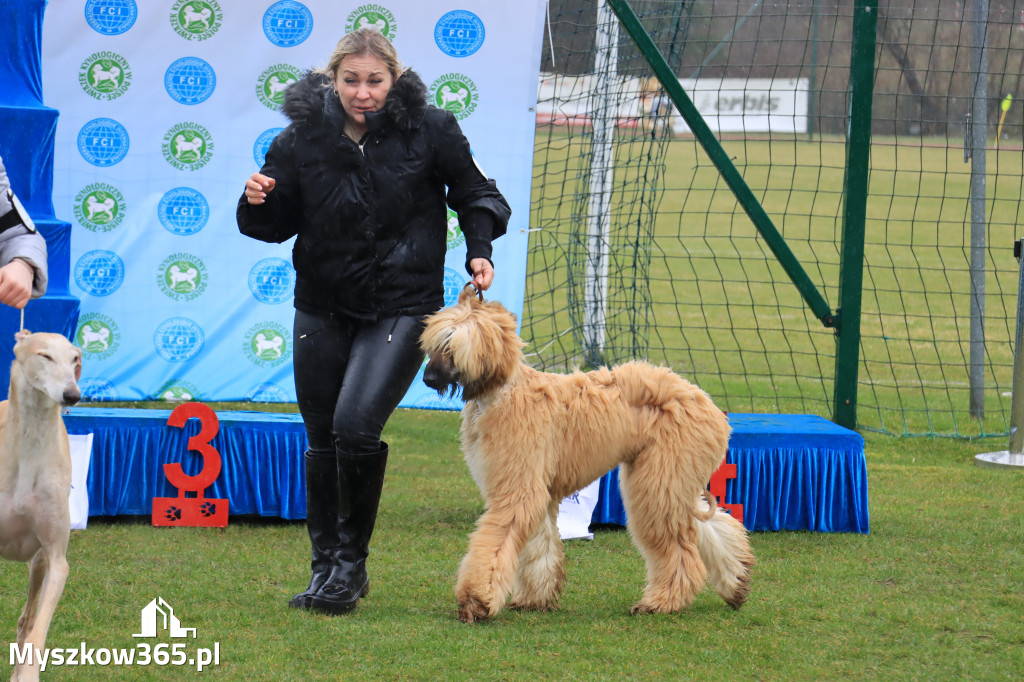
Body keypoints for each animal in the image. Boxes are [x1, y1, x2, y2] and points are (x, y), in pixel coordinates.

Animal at [419, 286, 757, 622]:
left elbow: (496, 542)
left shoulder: (518, 486)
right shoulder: (539, 485)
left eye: (451, 345)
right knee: (704, 524)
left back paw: (662, 601)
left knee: (678, 548)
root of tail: (709, 406)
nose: (427, 380)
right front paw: (535, 597)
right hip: (672, 477)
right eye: (434, 344)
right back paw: (736, 579)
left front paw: (477, 598)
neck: (502, 391)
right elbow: (541, 544)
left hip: (659, 478)